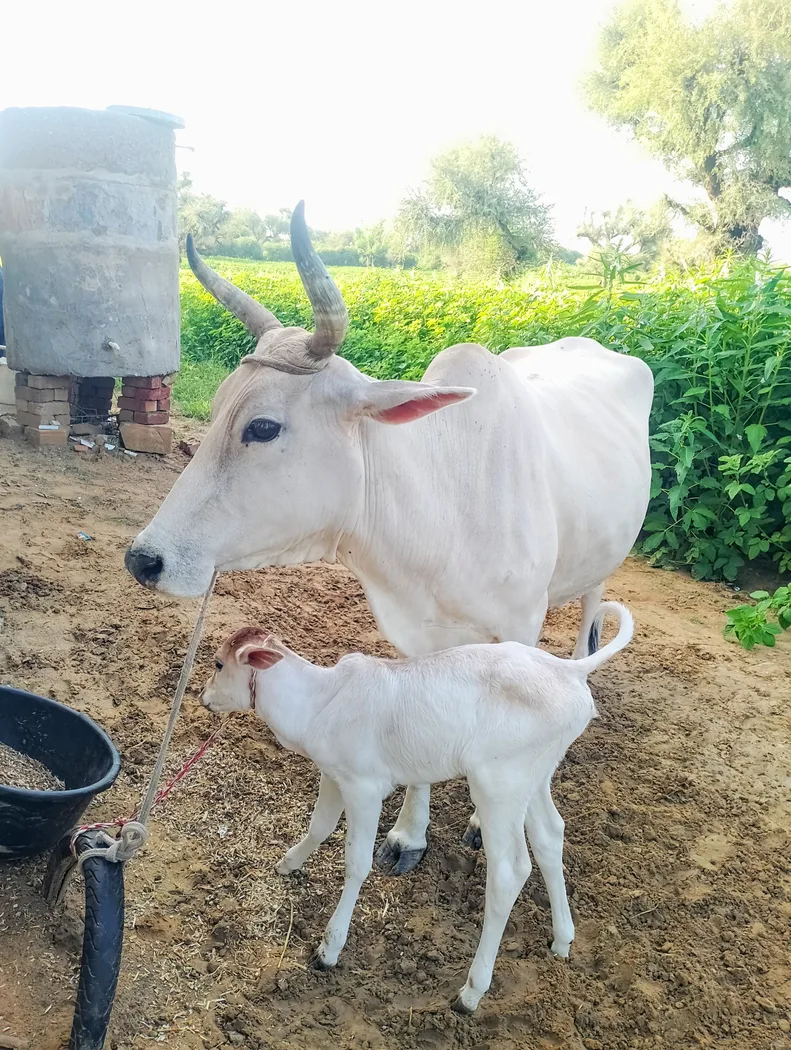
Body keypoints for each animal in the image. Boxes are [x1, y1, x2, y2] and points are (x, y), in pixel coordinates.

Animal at [126, 202, 653, 875]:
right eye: (215, 412)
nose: (144, 559)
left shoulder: (520, 624)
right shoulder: (414, 638)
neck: (444, 503)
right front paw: (408, 834)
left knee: (591, 611)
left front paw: (476, 823)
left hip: (600, 567)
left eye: (264, 427)